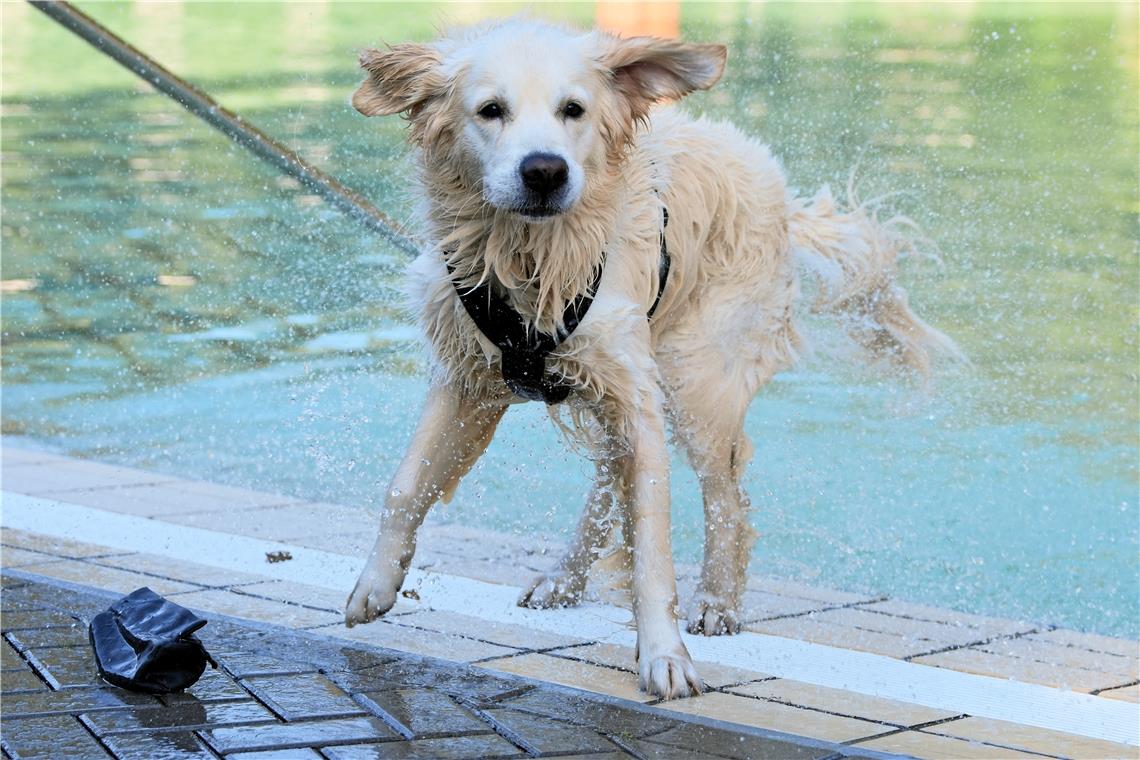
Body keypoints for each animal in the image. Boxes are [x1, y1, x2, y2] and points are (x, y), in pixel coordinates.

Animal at [342, 17, 957, 697]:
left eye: (574, 109)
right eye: (490, 110)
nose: (545, 171)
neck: (534, 257)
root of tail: (781, 194)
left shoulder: (635, 395)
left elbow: (653, 547)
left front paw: (665, 657)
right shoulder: (467, 376)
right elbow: (404, 485)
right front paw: (375, 585)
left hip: (695, 383)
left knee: (726, 498)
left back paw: (716, 601)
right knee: (612, 478)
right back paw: (566, 576)